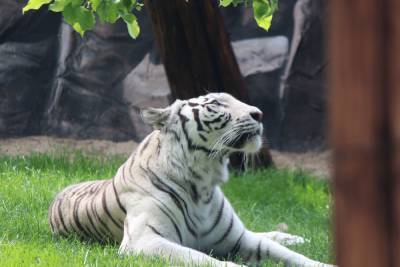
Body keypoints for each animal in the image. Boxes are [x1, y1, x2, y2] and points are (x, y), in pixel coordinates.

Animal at [48, 92, 332, 267]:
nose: (259, 114)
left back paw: (294, 237)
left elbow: (290, 255)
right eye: (215, 104)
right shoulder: (144, 240)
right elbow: (206, 260)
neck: (203, 183)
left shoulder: (240, 239)